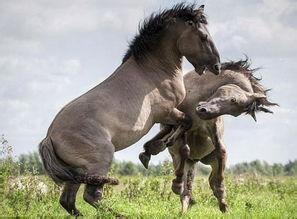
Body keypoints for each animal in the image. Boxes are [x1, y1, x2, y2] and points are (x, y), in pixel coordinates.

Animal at [38, 3, 220, 216]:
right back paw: (121, 214)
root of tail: (49, 138)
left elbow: (173, 130)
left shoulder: (165, 116)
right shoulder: (166, 112)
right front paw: (168, 168)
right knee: (91, 196)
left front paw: (149, 150)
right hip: (101, 158)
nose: (217, 66)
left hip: (77, 172)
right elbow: (185, 131)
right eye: (203, 37)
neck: (154, 70)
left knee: (68, 201)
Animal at [140, 59, 276, 213]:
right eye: (233, 100)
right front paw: (176, 184)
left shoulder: (213, 128)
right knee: (186, 186)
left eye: (235, 111)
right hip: (180, 159)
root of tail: (195, 160)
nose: (203, 111)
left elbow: (221, 151)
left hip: (209, 161)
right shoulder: (184, 126)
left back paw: (221, 204)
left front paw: (221, 193)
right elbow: (184, 149)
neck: (198, 93)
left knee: (208, 180)